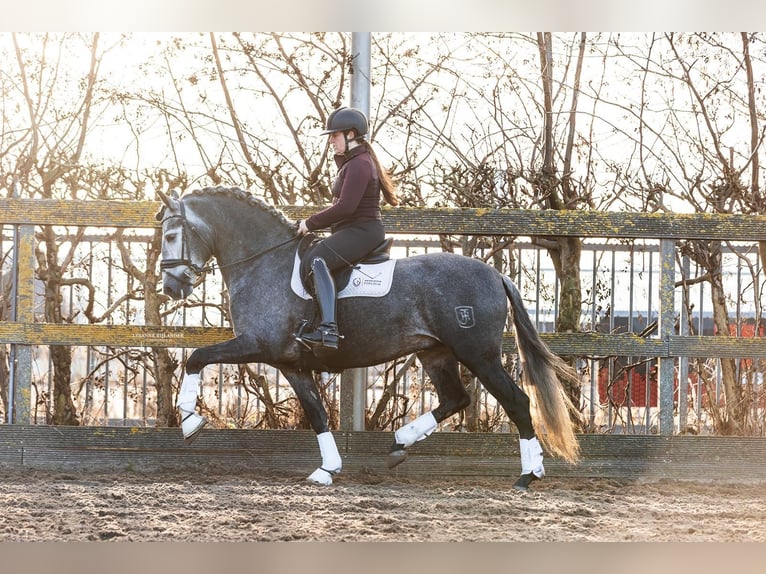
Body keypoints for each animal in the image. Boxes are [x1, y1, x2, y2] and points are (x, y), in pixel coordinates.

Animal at [158, 187, 584, 492]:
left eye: (172, 234)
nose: (171, 287)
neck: (265, 262)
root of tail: (495, 274)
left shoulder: (258, 344)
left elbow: (197, 357)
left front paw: (190, 421)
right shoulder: (290, 363)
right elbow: (317, 413)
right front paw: (327, 470)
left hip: (479, 354)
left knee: (516, 401)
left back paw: (528, 475)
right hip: (435, 353)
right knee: (455, 399)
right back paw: (399, 443)